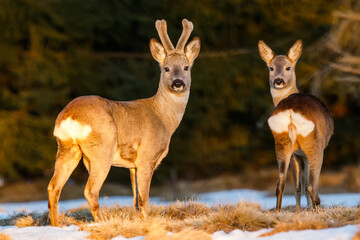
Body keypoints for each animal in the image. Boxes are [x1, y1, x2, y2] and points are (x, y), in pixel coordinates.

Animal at [46, 18, 201, 225]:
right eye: (166, 68)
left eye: (186, 67)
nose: (178, 83)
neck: (164, 118)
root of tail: (69, 116)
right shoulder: (146, 157)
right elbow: (143, 199)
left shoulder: (132, 166)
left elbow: (135, 199)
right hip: (102, 149)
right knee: (90, 190)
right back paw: (102, 223)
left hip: (67, 148)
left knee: (53, 187)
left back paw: (56, 225)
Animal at [258, 39, 334, 212]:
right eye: (271, 68)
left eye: (288, 67)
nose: (278, 80)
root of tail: (290, 110)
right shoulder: (303, 154)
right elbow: (305, 185)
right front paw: (307, 211)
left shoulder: (296, 154)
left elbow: (298, 186)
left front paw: (299, 212)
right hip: (313, 144)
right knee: (312, 186)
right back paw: (318, 210)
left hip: (281, 142)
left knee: (280, 183)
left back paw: (278, 212)